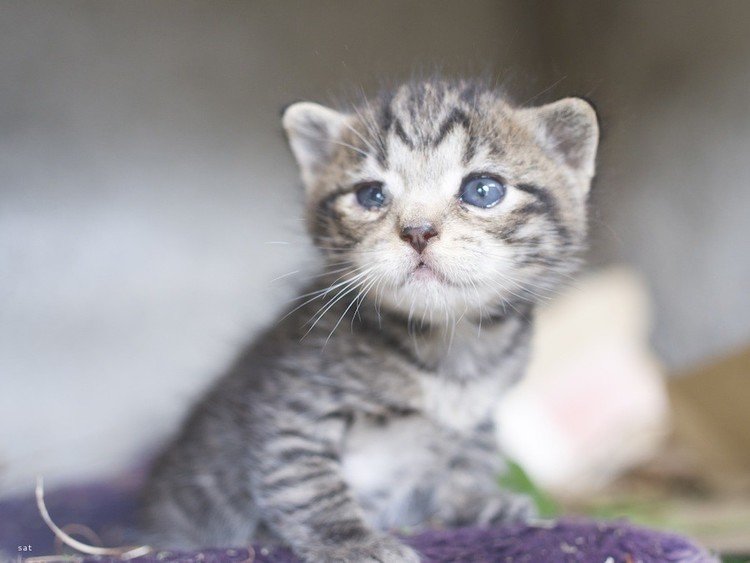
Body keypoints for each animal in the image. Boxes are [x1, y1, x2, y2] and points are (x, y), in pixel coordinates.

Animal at [140, 79, 600, 563]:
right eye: (371, 195)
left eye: (482, 190)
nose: (418, 231)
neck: (448, 344)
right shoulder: (292, 409)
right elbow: (307, 483)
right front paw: (352, 542)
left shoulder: (481, 412)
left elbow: (471, 459)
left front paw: (472, 504)